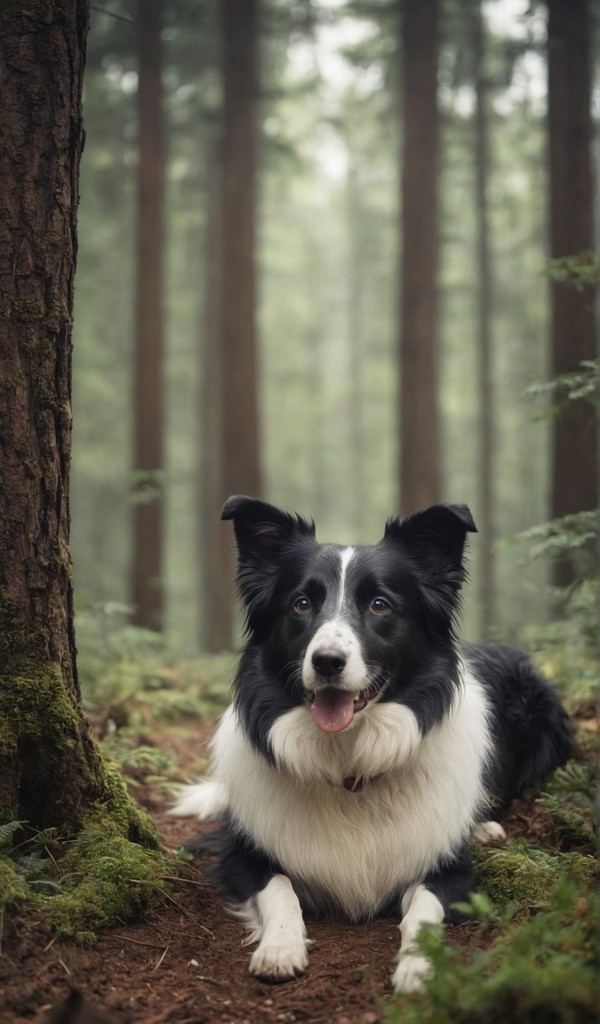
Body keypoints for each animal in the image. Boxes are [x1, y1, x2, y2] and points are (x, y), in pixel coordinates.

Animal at [172, 495, 569, 991]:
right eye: (301, 603)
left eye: (380, 605)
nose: (326, 661)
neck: (349, 761)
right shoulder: (242, 857)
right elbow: (280, 890)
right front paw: (279, 946)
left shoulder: (453, 873)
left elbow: (423, 912)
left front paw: (419, 966)